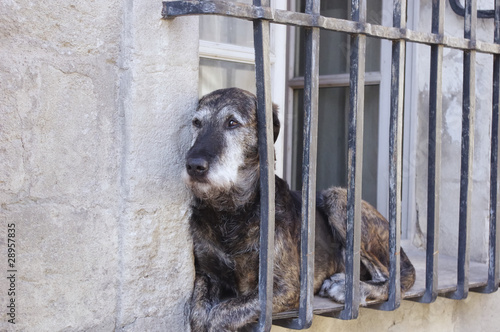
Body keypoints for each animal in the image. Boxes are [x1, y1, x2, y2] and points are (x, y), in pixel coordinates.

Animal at [182, 87, 416, 332]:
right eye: (196, 123)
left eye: (232, 123)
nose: (194, 165)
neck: (231, 212)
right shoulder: (205, 273)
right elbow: (197, 310)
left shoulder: (285, 288)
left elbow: (222, 312)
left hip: (338, 198)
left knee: (394, 279)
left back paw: (350, 287)